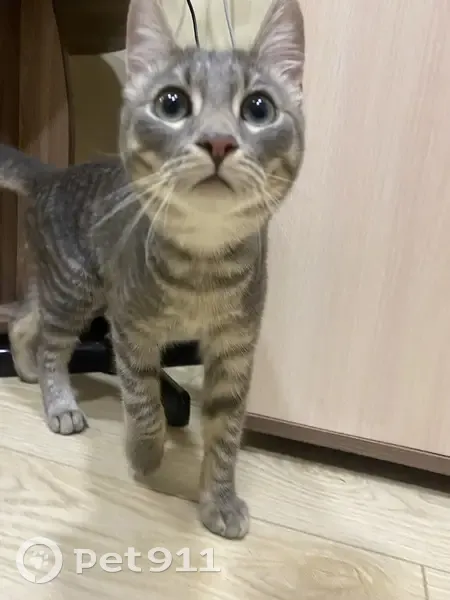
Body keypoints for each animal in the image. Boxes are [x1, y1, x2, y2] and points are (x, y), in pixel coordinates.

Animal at [0, 0, 305, 539]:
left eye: (259, 108)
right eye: (171, 102)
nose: (219, 141)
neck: (203, 267)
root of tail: (52, 175)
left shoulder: (236, 346)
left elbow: (226, 432)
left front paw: (219, 501)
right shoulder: (129, 330)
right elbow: (143, 401)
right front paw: (145, 454)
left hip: (69, 285)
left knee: (22, 316)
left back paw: (26, 367)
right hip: (76, 288)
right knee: (54, 346)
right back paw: (59, 400)